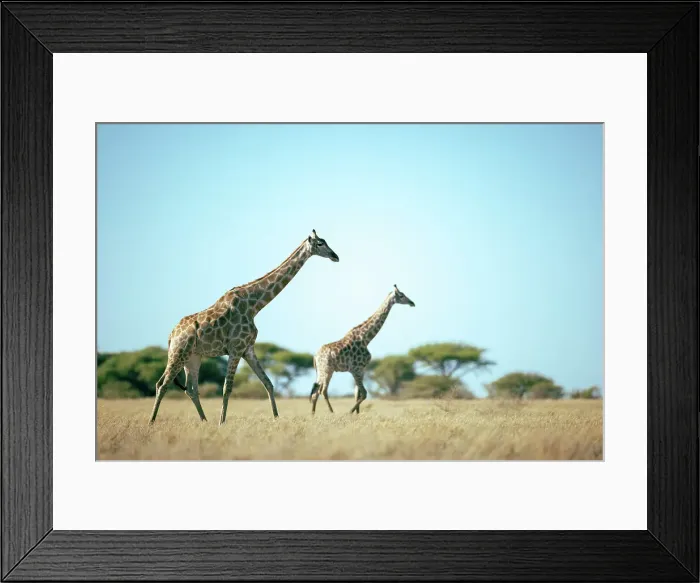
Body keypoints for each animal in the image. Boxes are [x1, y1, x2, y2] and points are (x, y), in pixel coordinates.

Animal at [149, 230, 339, 424]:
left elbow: (268, 383)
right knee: (162, 385)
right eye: (320, 243)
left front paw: (276, 418)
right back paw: (152, 421)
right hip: (178, 353)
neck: (254, 305)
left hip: (193, 357)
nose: (335, 256)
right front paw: (222, 422)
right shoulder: (236, 348)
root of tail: (171, 334)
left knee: (191, 389)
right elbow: (227, 388)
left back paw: (204, 421)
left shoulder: (248, 349)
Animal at [310, 285, 415, 415]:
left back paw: (313, 415)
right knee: (322, 390)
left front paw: (357, 414)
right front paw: (350, 413)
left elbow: (357, 394)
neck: (366, 338)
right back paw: (331, 413)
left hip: (322, 370)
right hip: (327, 369)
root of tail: (315, 356)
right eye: (401, 295)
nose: (412, 303)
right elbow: (364, 393)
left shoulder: (362, 369)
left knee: (316, 391)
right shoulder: (356, 369)